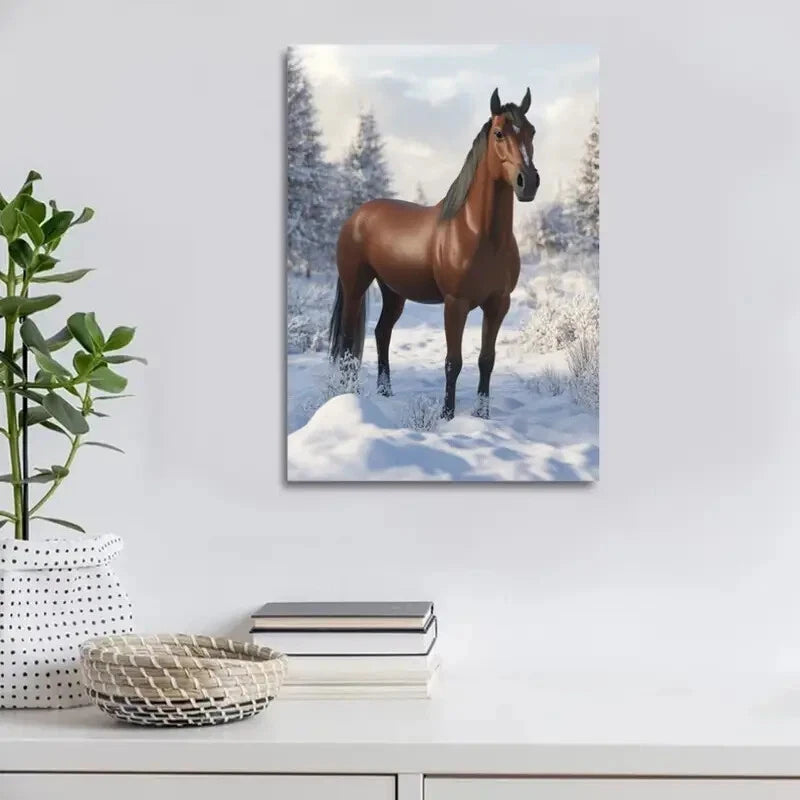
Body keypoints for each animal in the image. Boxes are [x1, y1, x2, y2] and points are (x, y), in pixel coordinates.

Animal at [329, 87, 539, 420]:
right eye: (499, 133)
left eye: (531, 131)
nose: (528, 182)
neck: (481, 235)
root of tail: (356, 216)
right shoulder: (455, 304)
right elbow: (453, 361)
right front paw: (447, 415)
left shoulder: (498, 305)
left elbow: (487, 360)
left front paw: (482, 415)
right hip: (355, 287)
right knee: (349, 342)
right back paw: (349, 392)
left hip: (394, 293)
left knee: (381, 333)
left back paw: (385, 393)